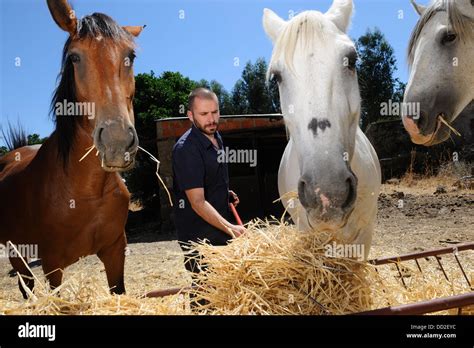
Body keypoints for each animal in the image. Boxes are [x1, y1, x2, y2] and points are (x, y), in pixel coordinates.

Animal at [0, 0, 143, 300]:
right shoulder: (52, 265)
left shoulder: (115, 251)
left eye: (131, 56)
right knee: (26, 286)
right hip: (16, 251)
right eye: (75, 58)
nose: (116, 142)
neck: (88, 190)